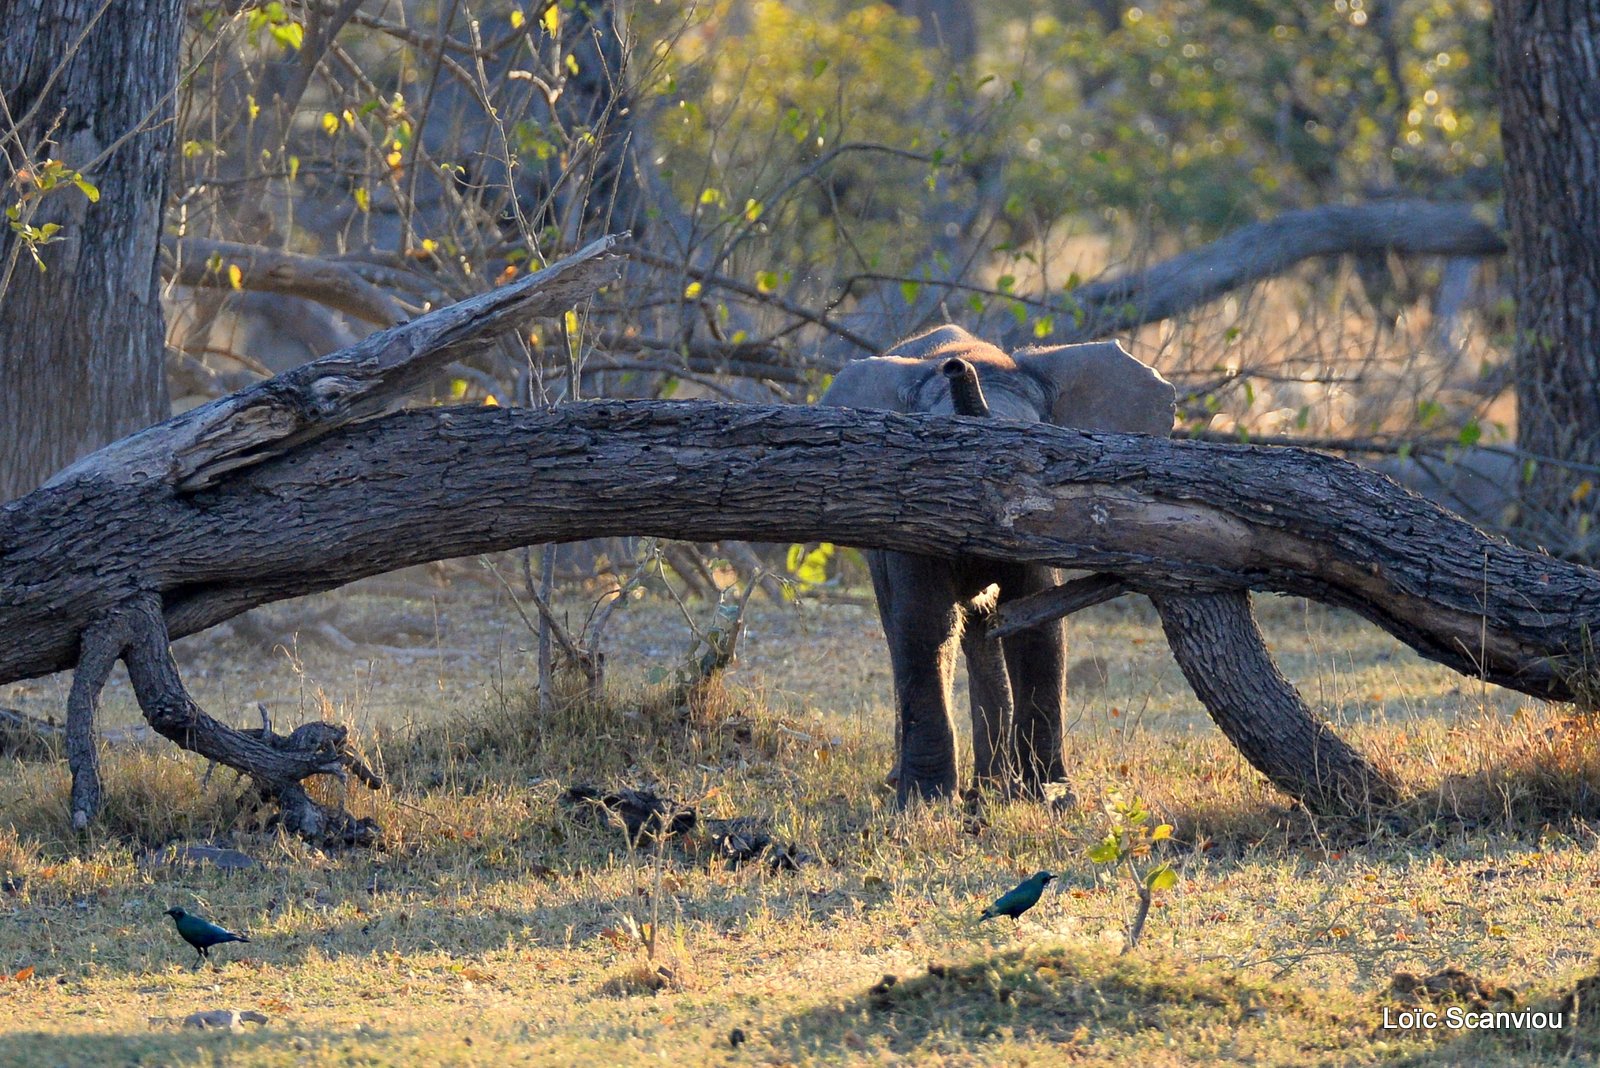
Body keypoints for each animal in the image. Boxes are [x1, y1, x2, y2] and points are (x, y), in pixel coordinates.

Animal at [825, 321, 1177, 805]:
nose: (955, 367)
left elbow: (1036, 627)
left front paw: (1051, 797)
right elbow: (924, 625)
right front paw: (926, 803)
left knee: (983, 632)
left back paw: (992, 786)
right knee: (909, 629)